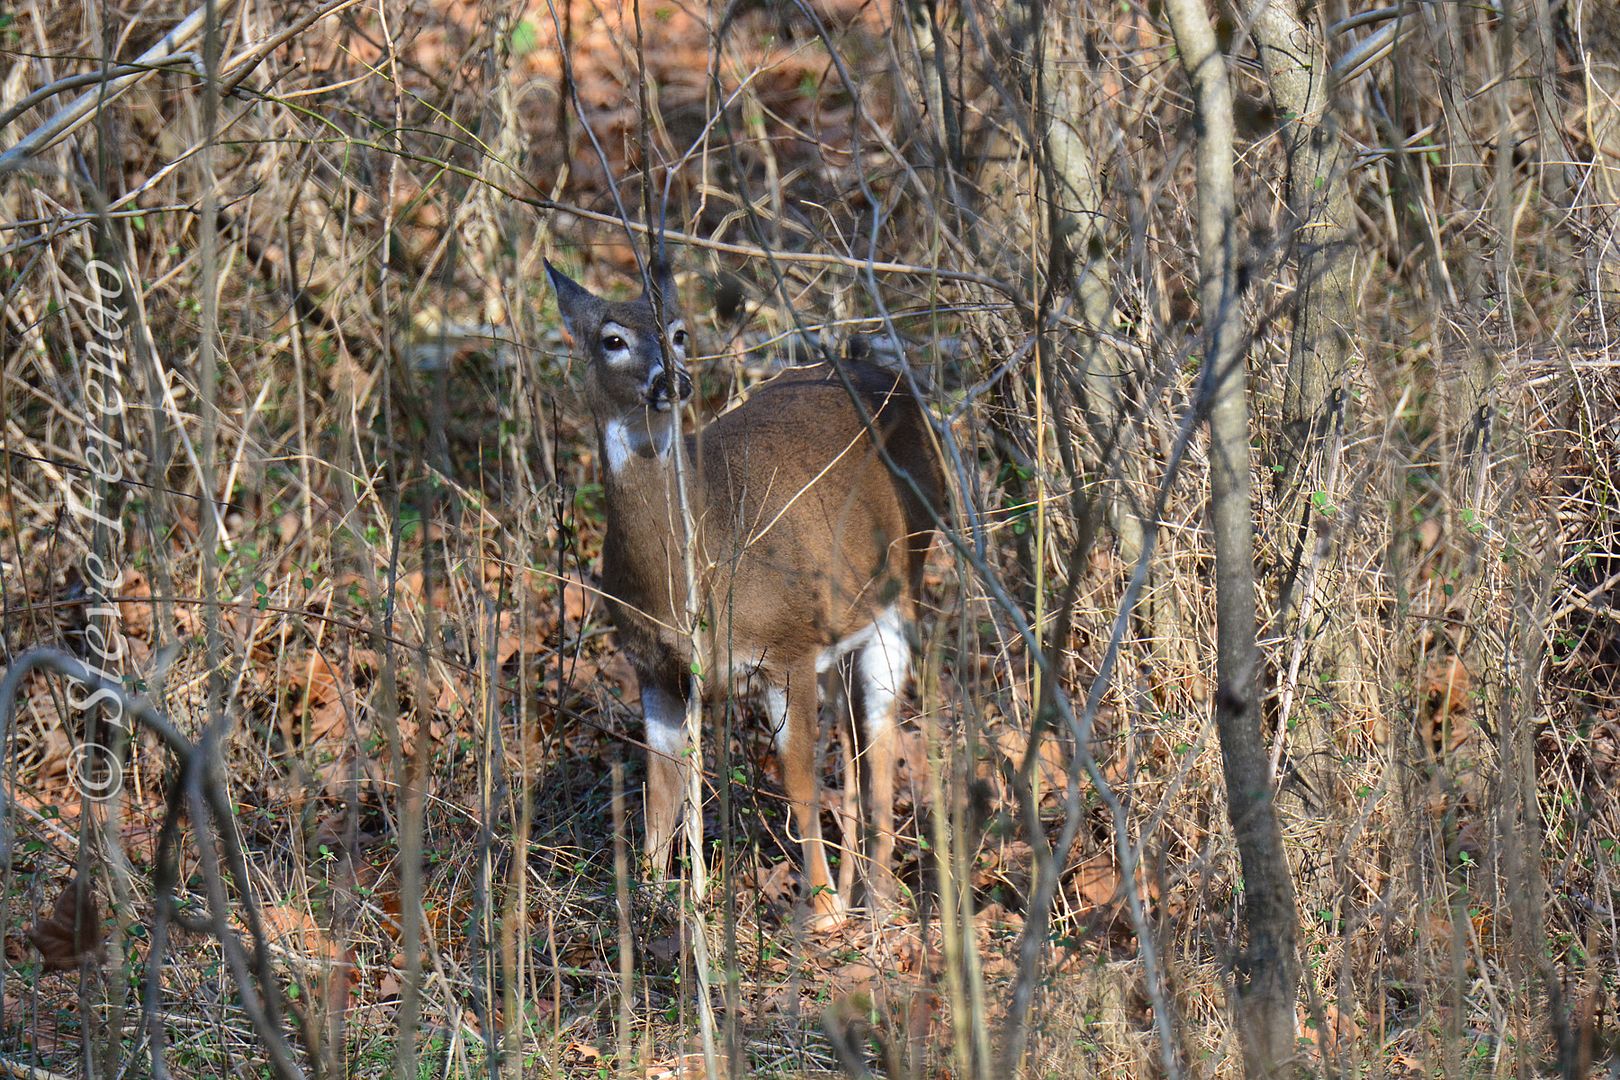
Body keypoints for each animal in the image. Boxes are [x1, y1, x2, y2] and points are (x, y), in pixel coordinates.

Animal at [547, 259, 946, 932]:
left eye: (679, 331)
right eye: (612, 339)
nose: (673, 380)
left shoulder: (785, 649)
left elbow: (798, 778)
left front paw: (822, 912)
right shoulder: (655, 667)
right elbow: (662, 785)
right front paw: (652, 896)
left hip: (902, 589)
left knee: (882, 733)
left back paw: (879, 899)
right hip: (842, 626)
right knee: (854, 739)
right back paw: (862, 887)